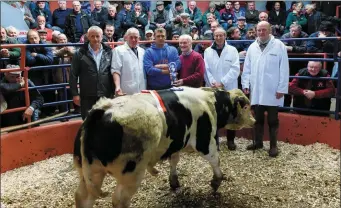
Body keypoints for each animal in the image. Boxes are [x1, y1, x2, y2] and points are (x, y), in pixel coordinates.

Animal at [73, 86, 254, 208]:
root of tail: (103, 109)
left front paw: (174, 181)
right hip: (131, 173)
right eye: (246, 106)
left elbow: (174, 160)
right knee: (119, 200)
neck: (210, 102)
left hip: (91, 172)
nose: (254, 120)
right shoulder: (205, 141)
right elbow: (216, 161)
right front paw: (216, 181)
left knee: (83, 197)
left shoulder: (176, 143)